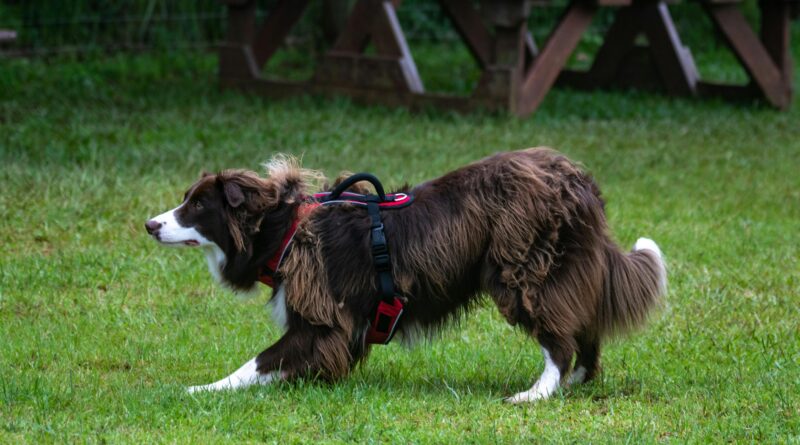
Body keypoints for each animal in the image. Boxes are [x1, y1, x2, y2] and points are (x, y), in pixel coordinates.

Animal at [145, 148, 666, 402]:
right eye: (186, 199)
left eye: (198, 205)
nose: (150, 224)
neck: (285, 228)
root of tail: (576, 180)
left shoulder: (322, 321)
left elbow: (257, 361)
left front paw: (199, 390)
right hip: (560, 271)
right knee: (585, 329)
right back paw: (574, 382)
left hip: (521, 272)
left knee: (559, 338)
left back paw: (535, 393)